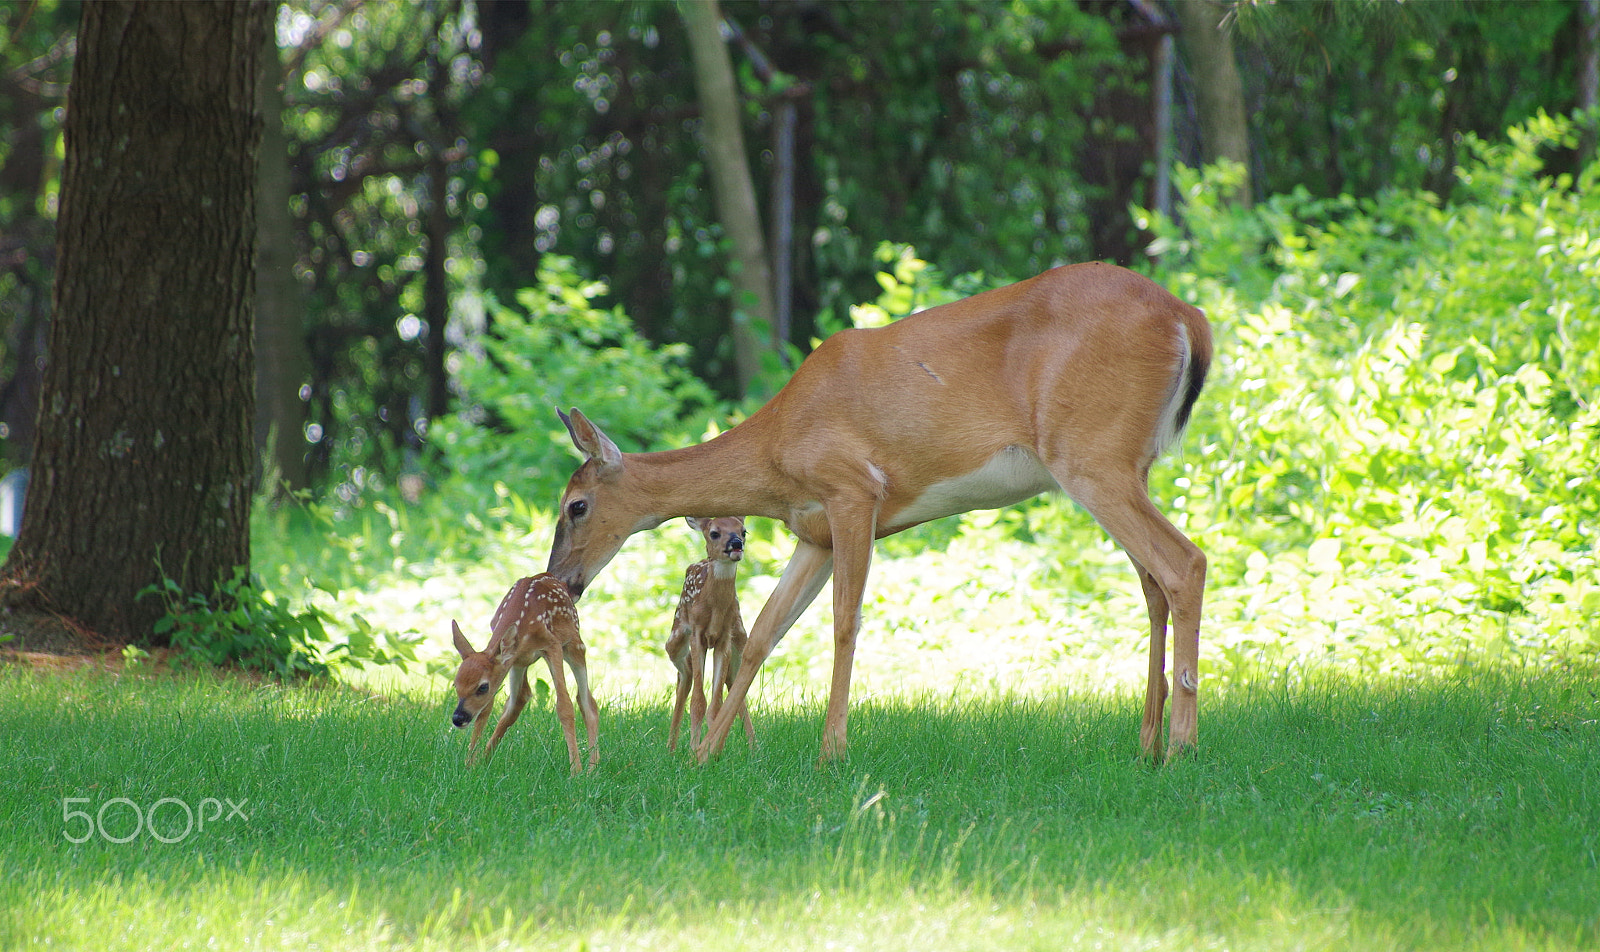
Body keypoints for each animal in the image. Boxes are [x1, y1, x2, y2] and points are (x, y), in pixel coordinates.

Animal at [451, 572, 601, 774]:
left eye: (482, 687)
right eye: (455, 684)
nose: (458, 718)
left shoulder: (552, 645)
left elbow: (564, 707)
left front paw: (575, 771)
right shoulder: (513, 661)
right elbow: (488, 711)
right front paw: (472, 765)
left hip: (575, 644)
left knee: (587, 702)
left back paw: (592, 769)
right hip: (519, 664)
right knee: (519, 700)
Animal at [668, 518, 755, 755]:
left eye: (744, 531)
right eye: (714, 533)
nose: (736, 543)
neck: (715, 609)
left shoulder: (725, 636)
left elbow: (717, 705)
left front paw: (709, 750)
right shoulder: (697, 634)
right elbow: (698, 702)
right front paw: (693, 752)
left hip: (741, 637)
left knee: (733, 683)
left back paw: (755, 749)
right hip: (675, 638)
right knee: (684, 677)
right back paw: (671, 747)